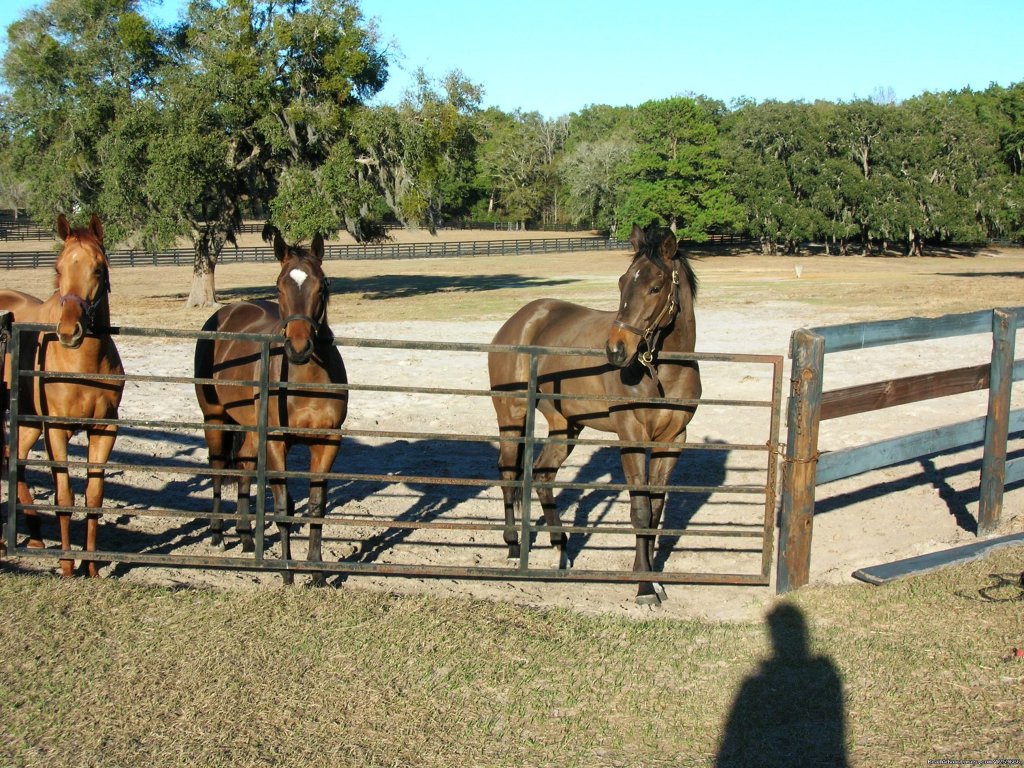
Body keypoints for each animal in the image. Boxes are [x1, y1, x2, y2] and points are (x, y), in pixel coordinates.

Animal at [0, 215, 124, 577]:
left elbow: (94, 496)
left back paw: (35, 535)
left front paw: (92, 566)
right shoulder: (56, 430)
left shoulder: (104, 430)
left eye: (99, 268)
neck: (82, 365)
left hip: (28, 423)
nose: (69, 331)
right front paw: (68, 564)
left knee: (15, 460)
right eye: (57, 267)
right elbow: (64, 496)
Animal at [192, 225, 348, 585]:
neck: (306, 380)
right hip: (215, 418)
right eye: (279, 285)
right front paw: (287, 572)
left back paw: (247, 537)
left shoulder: (328, 442)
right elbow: (283, 506)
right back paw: (218, 534)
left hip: (249, 427)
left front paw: (317, 573)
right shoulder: (277, 442)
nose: (299, 347)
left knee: (245, 469)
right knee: (219, 469)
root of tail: (224, 313)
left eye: (323, 285)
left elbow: (316, 507)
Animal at [489, 224, 700, 606]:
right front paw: (644, 587)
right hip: (512, 416)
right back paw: (513, 548)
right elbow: (640, 509)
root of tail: (518, 321)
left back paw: (560, 549)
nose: (616, 350)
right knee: (509, 473)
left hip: (565, 426)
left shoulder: (674, 440)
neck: (663, 372)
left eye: (655, 287)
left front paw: (653, 579)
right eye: (622, 282)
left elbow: (656, 509)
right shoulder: (631, 436)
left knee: (542, 474)